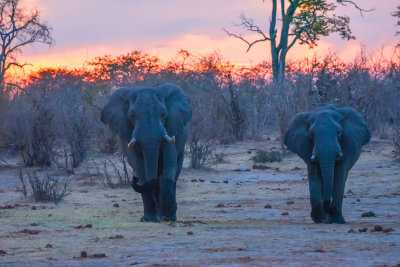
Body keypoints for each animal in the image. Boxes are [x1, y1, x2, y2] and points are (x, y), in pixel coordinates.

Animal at [101, 83, 192, 222]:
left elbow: (169, 164)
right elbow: (139, 165)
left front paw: (169, 216)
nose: (134, 178)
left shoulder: (170, 128)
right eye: (132, 116)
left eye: (163, 114)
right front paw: (149, 219)